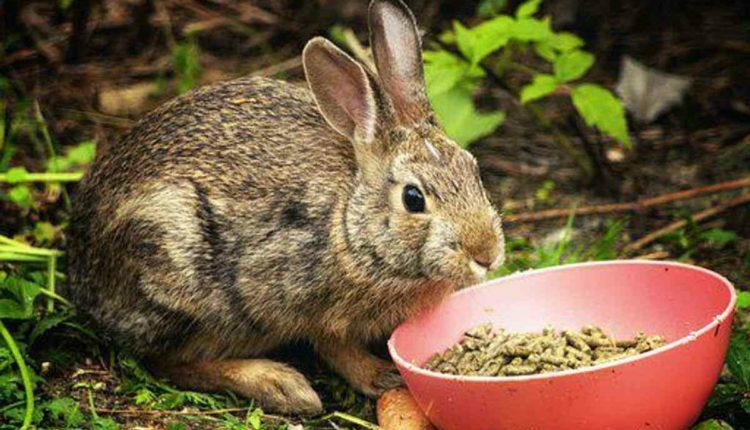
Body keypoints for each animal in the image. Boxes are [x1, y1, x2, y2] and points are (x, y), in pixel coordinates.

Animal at [66, 0, 505, 415]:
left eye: (474, 170)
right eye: (413, 199)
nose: (487, 254)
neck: (350, 224)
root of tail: (82, 278)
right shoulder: (299, 300)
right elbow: (334, 347)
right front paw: (380, 376)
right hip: (178, 271)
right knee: (166, 362)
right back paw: (280, 385)